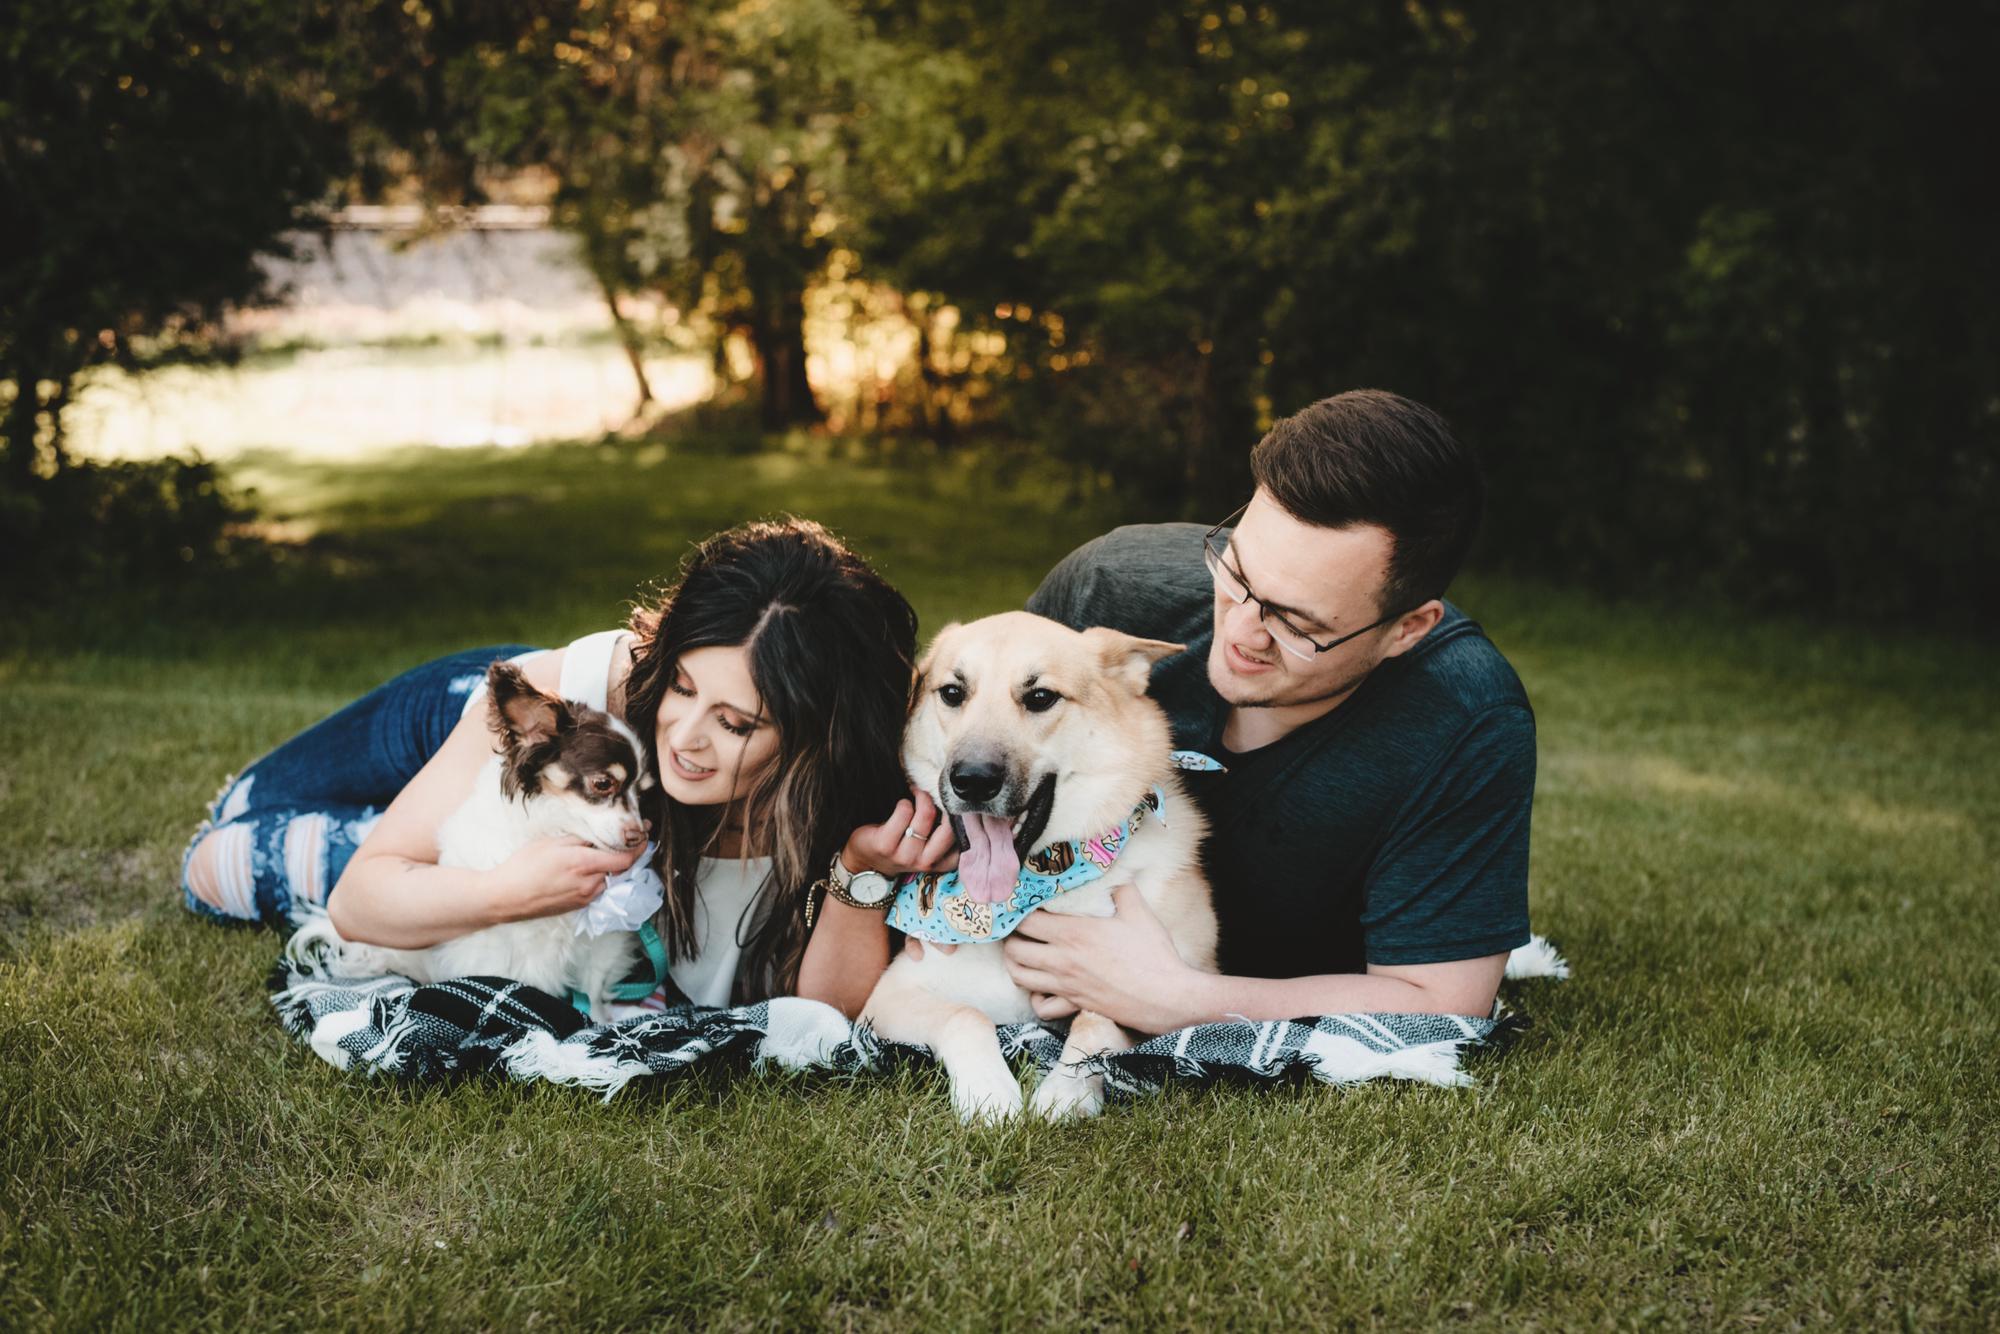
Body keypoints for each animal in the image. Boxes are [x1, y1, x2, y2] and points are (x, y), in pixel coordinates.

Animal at [287, 661, 653, 1020]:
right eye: (603, 784)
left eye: (644, 792)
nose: (639, 835)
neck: (552, 829)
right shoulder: (502, 951)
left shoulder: (602, 944)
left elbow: (593, 992)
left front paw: (601, 1023)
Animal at [862, 611, 1219, 1122]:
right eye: (952, 692)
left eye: (1040, 698)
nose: (972, 780)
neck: (1041, 884)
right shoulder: (887, 999)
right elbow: (964, 1015)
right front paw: (988, 1092)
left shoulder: (1175, 988)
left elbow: (1096, 1021)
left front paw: (1066, 1091)